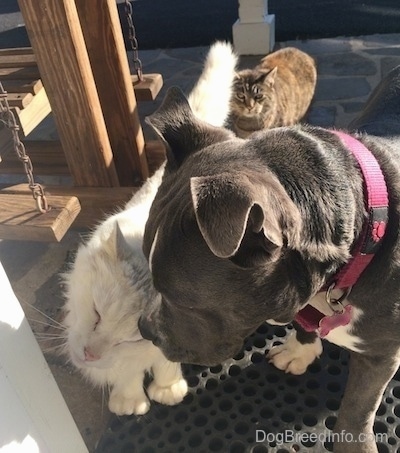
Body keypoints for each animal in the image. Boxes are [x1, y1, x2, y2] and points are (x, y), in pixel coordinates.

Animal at [62, 43, 238, 416]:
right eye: (96, 314)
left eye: (129, 338)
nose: (89, 355)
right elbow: (126, 374)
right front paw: (129, 400)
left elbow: (162, 363)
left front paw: (166, 389)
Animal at [139, 64, 400, 452]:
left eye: (183, 301)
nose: (144, 328)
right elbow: (304, 321)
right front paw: (300, 350)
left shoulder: (380, 355)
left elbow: (356, 413)